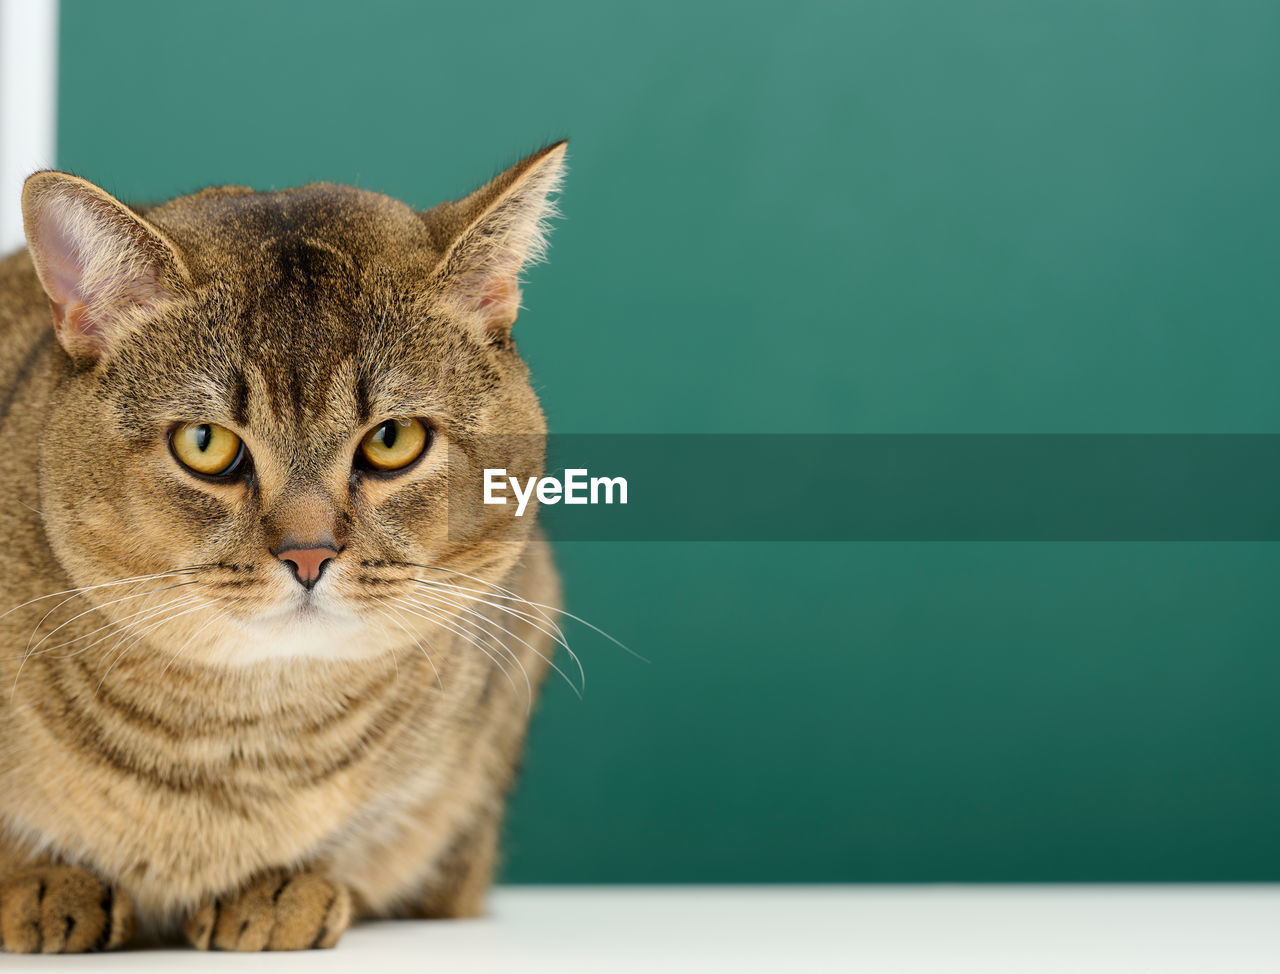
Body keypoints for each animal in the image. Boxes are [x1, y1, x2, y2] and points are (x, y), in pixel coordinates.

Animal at [0, 142, 565, 952]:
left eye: (393, 439)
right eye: (205, 444)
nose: (308, 555)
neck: (245, 737)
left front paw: (281, 886)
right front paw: (39, 880)